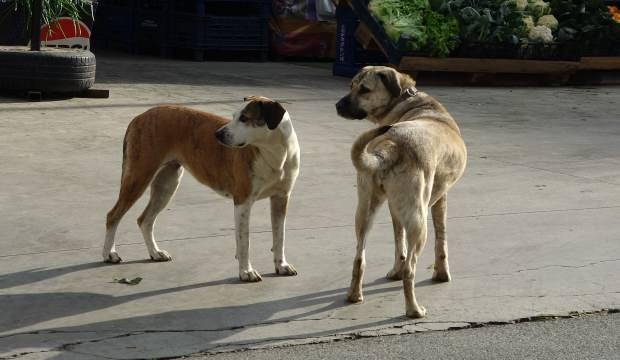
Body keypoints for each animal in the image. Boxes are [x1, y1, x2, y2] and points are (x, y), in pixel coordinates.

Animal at [102, 97, 300, 282]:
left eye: (244, 118)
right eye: (234, 116)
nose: (218, 134)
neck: (275, 153)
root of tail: (140, 116)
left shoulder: (281, 198)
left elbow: (279, 237)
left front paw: (282, 265)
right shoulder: (243, 201)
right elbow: (244, 241)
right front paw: (246, 272)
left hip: (166, 185)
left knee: (145, 220)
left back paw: (155, 253)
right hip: (138, 177)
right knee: (113, 215)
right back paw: (109, 254)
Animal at [336, 66, 468, 316]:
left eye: (363, 89)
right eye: (351, 86)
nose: (338, 105)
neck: (407, 100)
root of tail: (391, 146)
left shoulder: (394, 209)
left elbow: (399, 242)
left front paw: (394, 271)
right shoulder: (440, 199)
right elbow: (441, 239)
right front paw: (441, 274)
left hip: (364, 211)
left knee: (359, 258)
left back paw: (354, 296)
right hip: (419, 222)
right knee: (411, 269)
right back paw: (414, 310)